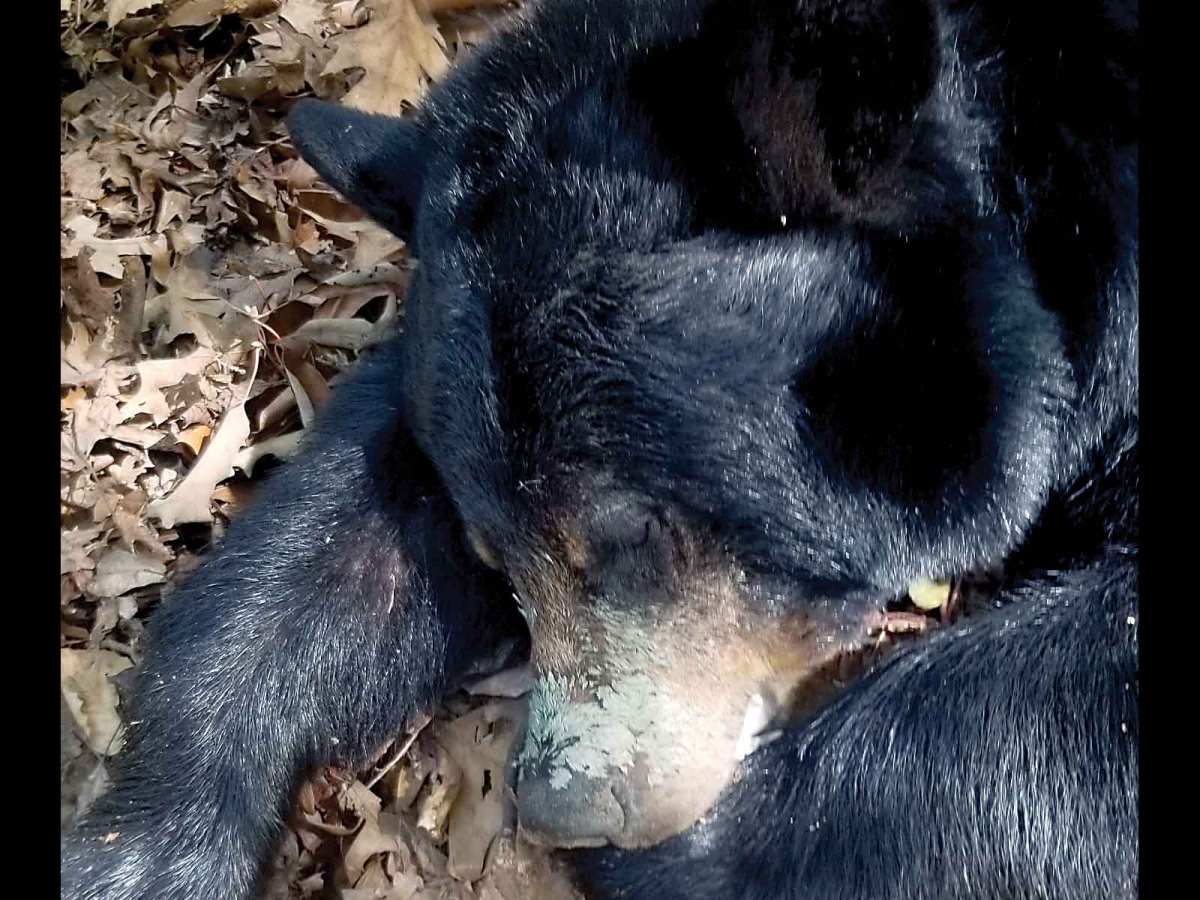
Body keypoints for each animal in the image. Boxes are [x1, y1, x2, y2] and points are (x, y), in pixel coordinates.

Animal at [60, 0, 1137, 897]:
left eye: (637, 532)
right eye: (496, 555)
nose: (566, 805)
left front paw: (687, 858)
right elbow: (350, 534)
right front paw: (142, 842)